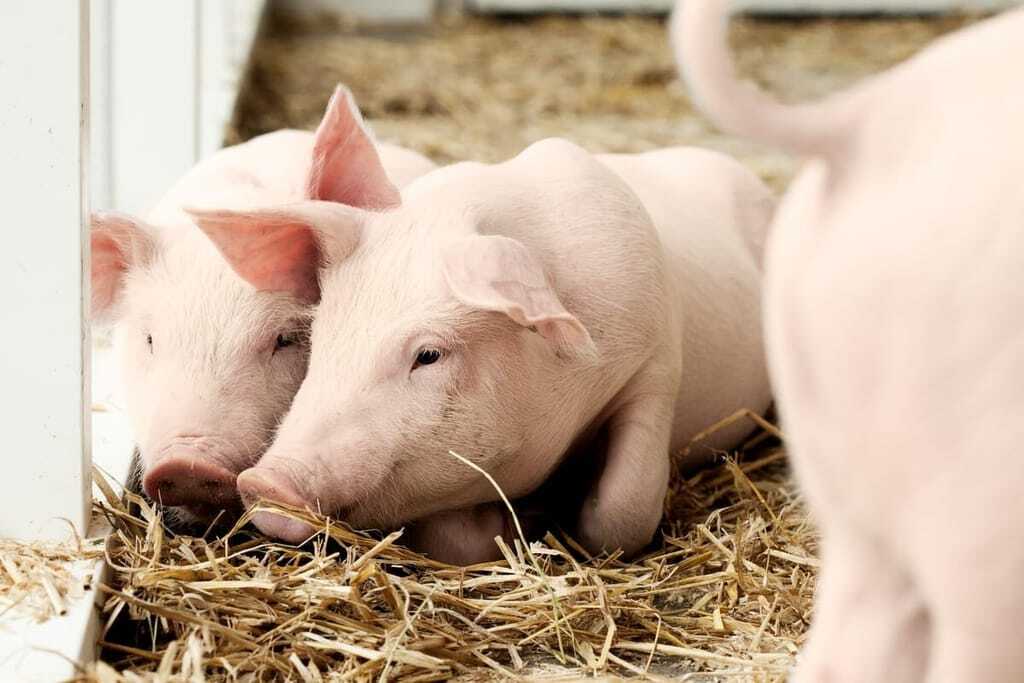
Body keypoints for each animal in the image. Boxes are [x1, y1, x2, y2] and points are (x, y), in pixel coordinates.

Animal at [189, 114, 774, 562]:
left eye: (429, 354)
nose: (265, 481)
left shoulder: (657, 361)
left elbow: (623, 512)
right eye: (321, 337)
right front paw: (515, 523)